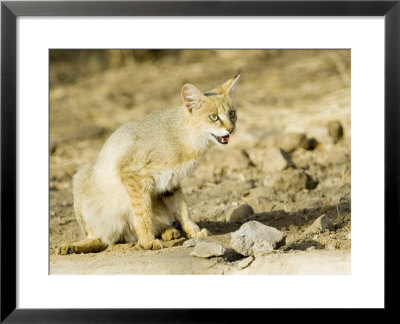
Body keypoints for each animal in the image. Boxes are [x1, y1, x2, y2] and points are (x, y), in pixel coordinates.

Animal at [58, 74, 241, 254]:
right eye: (214, 117)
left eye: (232, 114)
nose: (231, 129)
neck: (186, 138)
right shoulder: (133, 176)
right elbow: (143, 212)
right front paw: (147, 241)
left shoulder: (171, 181)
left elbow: (182, 207)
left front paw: (193, 231)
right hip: (81, 176)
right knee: (101, 238)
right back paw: (73, 246)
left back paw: (168, 231)